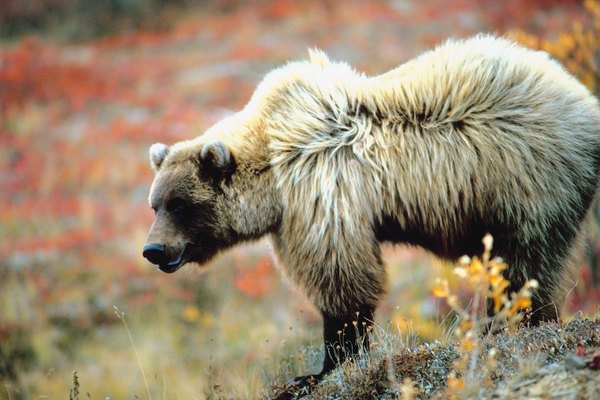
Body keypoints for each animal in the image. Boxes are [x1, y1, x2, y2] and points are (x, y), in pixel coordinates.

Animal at [143, 35, 600, 388]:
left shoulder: (321, 192)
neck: (273, 174)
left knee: (525, 264)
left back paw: (515, 323)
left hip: (527, 180)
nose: (154, 250)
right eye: (156, 203)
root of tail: (583, 99)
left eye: (180, 205)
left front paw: (324, 366)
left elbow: (341, 279)